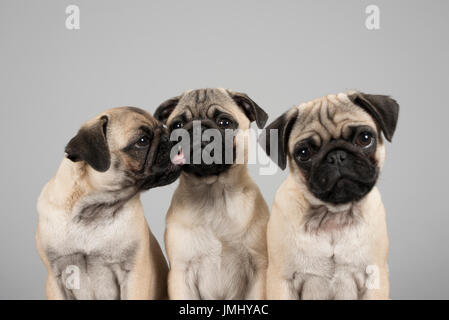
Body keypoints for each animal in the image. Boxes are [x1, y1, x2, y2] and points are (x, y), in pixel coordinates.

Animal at [36, 107, 180, 300]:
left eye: (164, 128)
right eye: (142, 141)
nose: (172, 137)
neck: (94, 209)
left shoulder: (134, 275)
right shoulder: (55, 279)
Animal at [155, 88, 270, 300]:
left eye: (224, 122)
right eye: (177, 125)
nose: (198, 128)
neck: (214, 195)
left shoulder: (258, 270)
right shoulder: (181, 273)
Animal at [262, 91, 400, 298]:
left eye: (365, 138)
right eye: (304, 153)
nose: (336, 156)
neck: (332, 216)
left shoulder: (375, 277)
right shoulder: (282, 281)